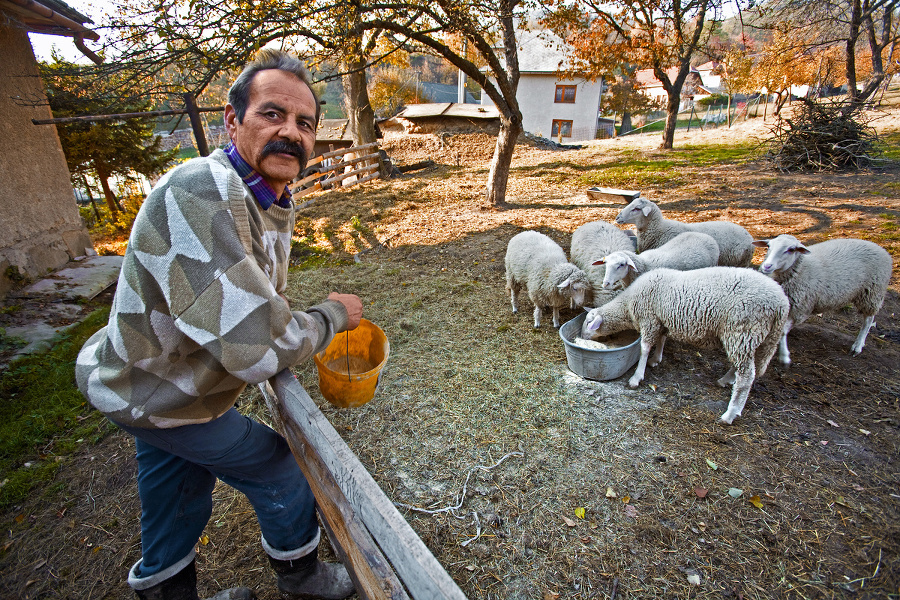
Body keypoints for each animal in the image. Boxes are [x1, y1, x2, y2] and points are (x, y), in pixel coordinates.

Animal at [584, 268, 788, 426]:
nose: (581, 336)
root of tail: (781, 303)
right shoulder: (661, 320)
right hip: (752, 338)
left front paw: (637, 377)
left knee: (746, 376)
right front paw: (656, 359)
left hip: (743, 330)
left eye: (587, 324)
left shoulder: (650, 319)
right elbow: (662, 340)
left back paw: (730, 413)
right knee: (742, 367)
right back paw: (726, 380)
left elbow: (645, 348)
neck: (627, 304)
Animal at [752, 236, 892, 366]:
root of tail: (879, 247)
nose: (767, 266)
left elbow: (783, 331)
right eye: (768, 246)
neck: (800, 269)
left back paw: (858, 345)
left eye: (791, 249)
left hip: (872, 292)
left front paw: (784, 355)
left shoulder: (802, 309)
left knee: (868, 320)